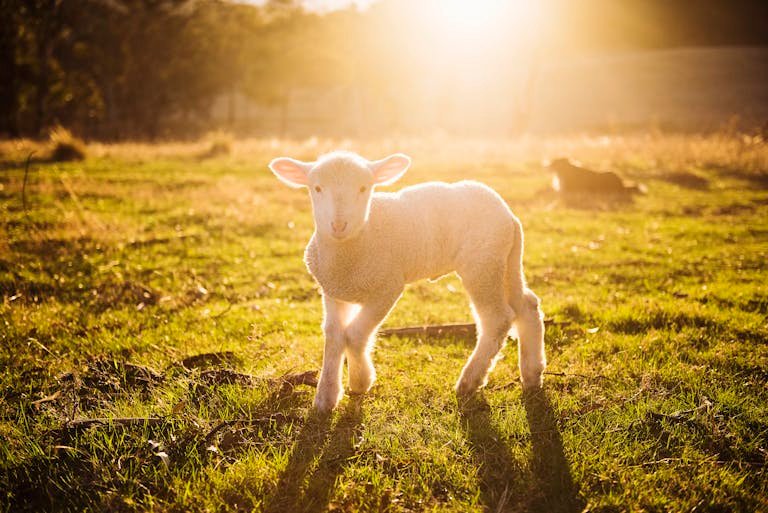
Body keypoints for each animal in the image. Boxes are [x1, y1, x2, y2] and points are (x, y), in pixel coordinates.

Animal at [268, 151, 546, 413]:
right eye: (317, 188)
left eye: (363, 188)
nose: (338, 225)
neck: (357, 244)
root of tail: (508, 214)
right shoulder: (333, 291)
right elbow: (334, 335)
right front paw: (326, 397)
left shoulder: (387, 287)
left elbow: (355, 335)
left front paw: (360, 381)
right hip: (506, 260)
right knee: (527, 305)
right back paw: (532, 373)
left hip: (482, 265)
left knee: (497, 319)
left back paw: (470, 381)